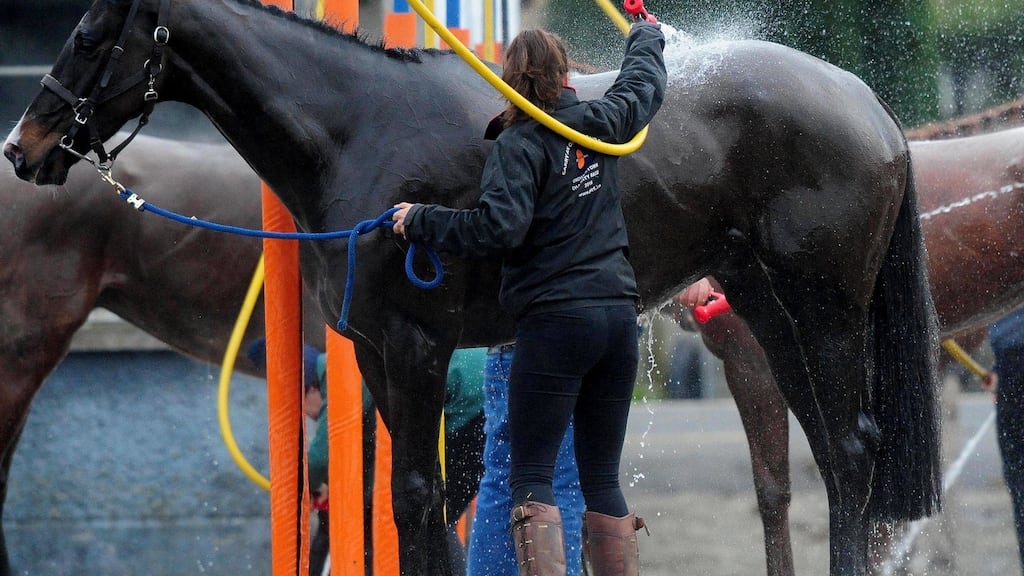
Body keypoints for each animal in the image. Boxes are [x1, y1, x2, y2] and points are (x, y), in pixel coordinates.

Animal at [2, 1, 941, 574]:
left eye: (91, 35)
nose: (22, 147)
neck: (358, 129)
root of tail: (866, 104)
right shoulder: (376, 355)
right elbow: (407, 501)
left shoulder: (418, 347)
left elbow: (416, 497)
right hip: (768, 311)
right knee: (836, 451)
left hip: (825, 312)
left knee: (850, 448)